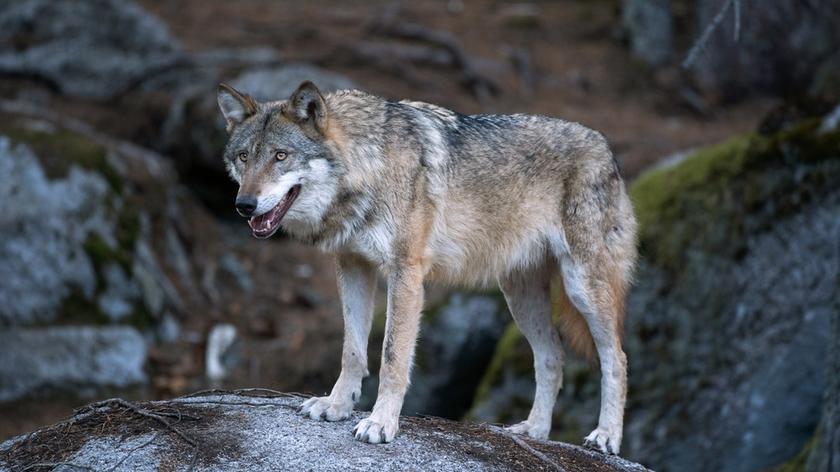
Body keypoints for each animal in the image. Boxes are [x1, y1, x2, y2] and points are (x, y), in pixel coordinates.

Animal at [215, 80, 636, 454]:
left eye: (280, 156)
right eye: (244, 157)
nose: (244, 205)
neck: (368, 166)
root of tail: (605, 147)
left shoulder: (405, 273)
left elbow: (392, 358)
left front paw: (381, 423)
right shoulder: (353, 267)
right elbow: (352, 351)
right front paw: (336, 405)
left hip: (582, 288)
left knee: (616, 358)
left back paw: (606, 437)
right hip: (520, 299)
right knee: (552, 356)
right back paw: (534, 430)